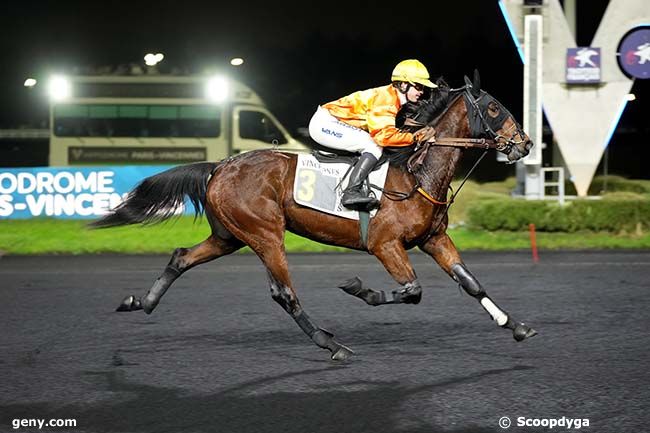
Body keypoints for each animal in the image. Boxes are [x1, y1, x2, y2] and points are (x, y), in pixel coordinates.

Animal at [93, 72, 536, 360]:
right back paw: (331, 344)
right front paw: (359, 288)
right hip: (266, 234)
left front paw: (515, 325)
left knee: (181, 257)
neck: (417, 174)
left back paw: (141, 302)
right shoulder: (385, 244)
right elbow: (412, 291)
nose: (525, 144)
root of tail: (221, 165)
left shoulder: (433, 239)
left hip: (229, 235)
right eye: (493, 108)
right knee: (284, 293)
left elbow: (471, 283)